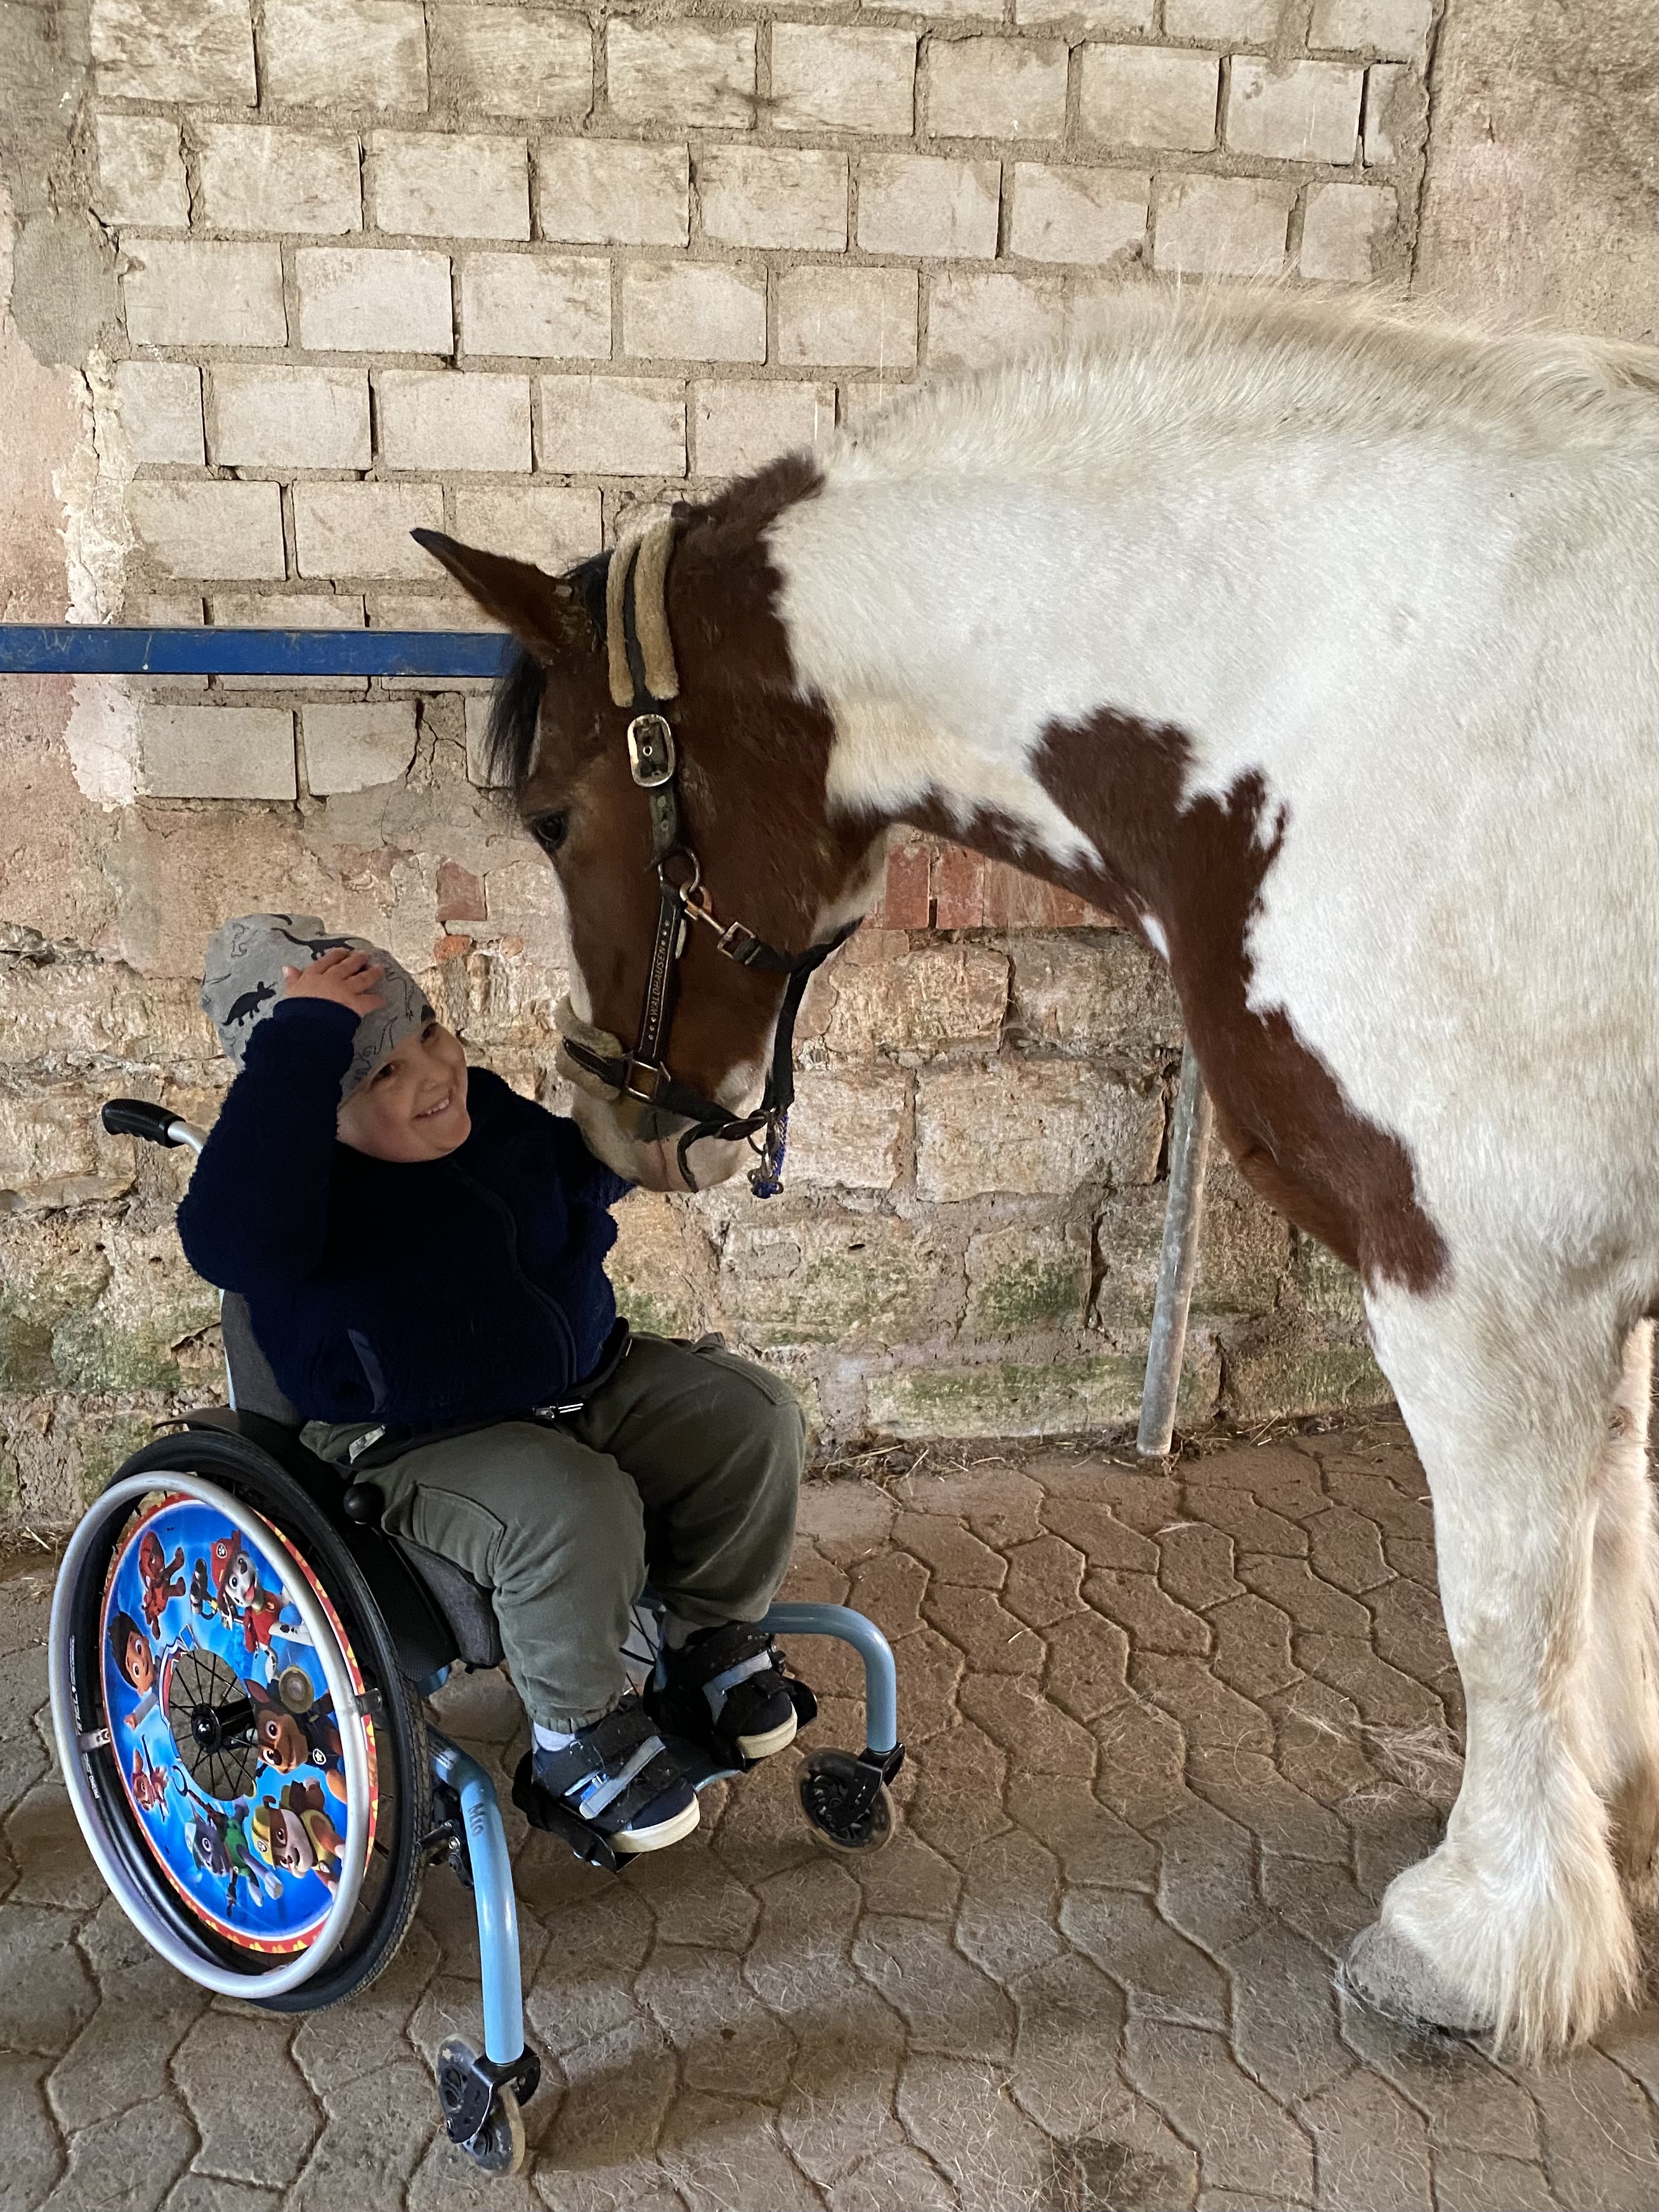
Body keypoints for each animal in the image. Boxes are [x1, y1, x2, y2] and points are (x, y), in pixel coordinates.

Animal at [416, 291, 1658, 2059]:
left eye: (546, 814)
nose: (610, 1120)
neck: (1355, 685)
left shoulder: (1483, 1278)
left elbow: (1504, 1607)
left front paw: (1479, 1941)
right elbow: (1605, 1553)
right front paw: (1597, 1812)